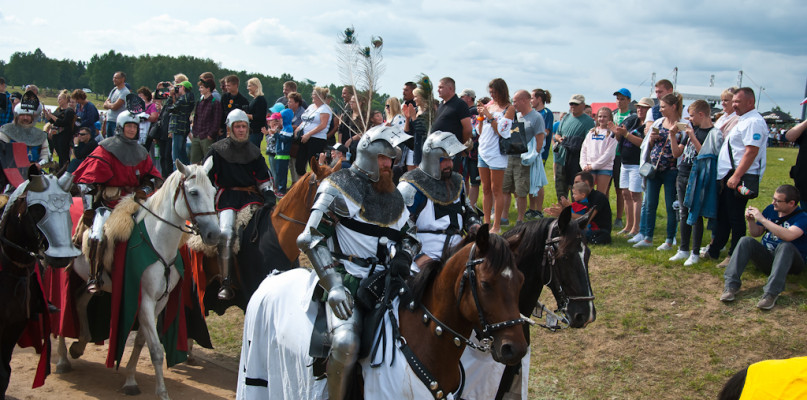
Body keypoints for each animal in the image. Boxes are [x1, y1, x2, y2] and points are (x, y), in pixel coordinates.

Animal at [58, 160, 219, 400]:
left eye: (213, 192)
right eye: (193, 192)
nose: (214, 234)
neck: (156, 240)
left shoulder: (160, 301)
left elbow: (142, 341)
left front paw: (130, 380)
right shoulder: (145, 301)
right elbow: (155, 350)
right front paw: (162, 393)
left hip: (88, 282)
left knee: (79, 302)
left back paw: (79, 345)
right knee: (59, 313)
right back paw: (61, 360)